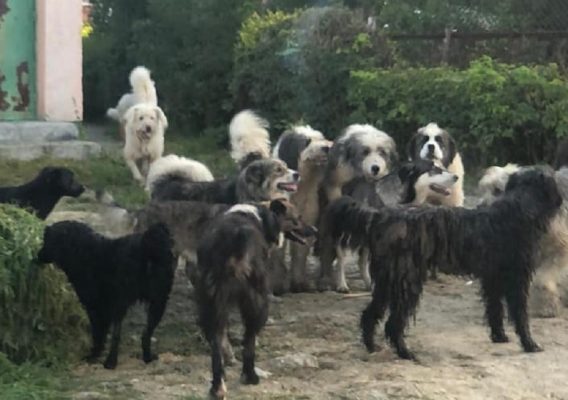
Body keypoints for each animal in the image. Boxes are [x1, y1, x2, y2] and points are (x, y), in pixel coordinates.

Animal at [37, 221, 175, 369]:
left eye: (46, 240)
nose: (37, 256)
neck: (83, 252)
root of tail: (148, 245)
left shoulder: (96, 308)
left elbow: (98, 334)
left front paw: (94, 355)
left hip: (123, 303)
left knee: (117, 335)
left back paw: (110, 362)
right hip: (158, 301)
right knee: (146, 334)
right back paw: (147, 357)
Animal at [194, 199, 315, 399]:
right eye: (297, 218)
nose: (315, 230)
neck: (262, 216)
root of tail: (234, 238)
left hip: (209, 302)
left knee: (216, 343)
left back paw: (217, 387)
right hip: (257, 299)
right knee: (249, 340)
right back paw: (250, 376)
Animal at [318, 159, 458, 293]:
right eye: (433, 169)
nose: (456, 177)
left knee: (361, 262)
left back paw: (368, 284)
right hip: (345, 235)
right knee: (341, 260)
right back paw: (342, 285)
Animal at [323, 169, 561, 360]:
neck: (519, 209)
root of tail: (380, 216)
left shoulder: (493, 278)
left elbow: (495, 310)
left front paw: (499, 336)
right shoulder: (517, 278)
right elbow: (520, 315)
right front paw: (530, 344)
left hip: (387, 281)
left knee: (370, 314)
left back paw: (372, 346)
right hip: (406, 281)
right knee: (393, 323)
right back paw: (405, 353)